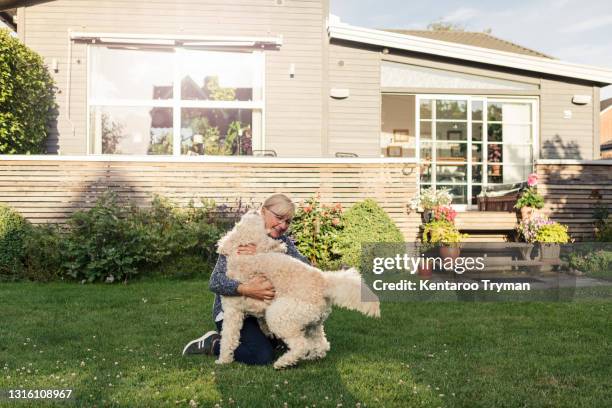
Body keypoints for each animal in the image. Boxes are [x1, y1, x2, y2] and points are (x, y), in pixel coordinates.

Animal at [214, 210, 378, 370]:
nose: (254, 211)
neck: (246, 255)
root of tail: (324, 281)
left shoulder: (232, 311)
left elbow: (228, 338)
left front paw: (223, 360)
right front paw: (266, 331)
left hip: (280, 315)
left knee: (301, 345)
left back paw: (283, 362)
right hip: (314, 323)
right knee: (322, 344)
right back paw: (311, 356)